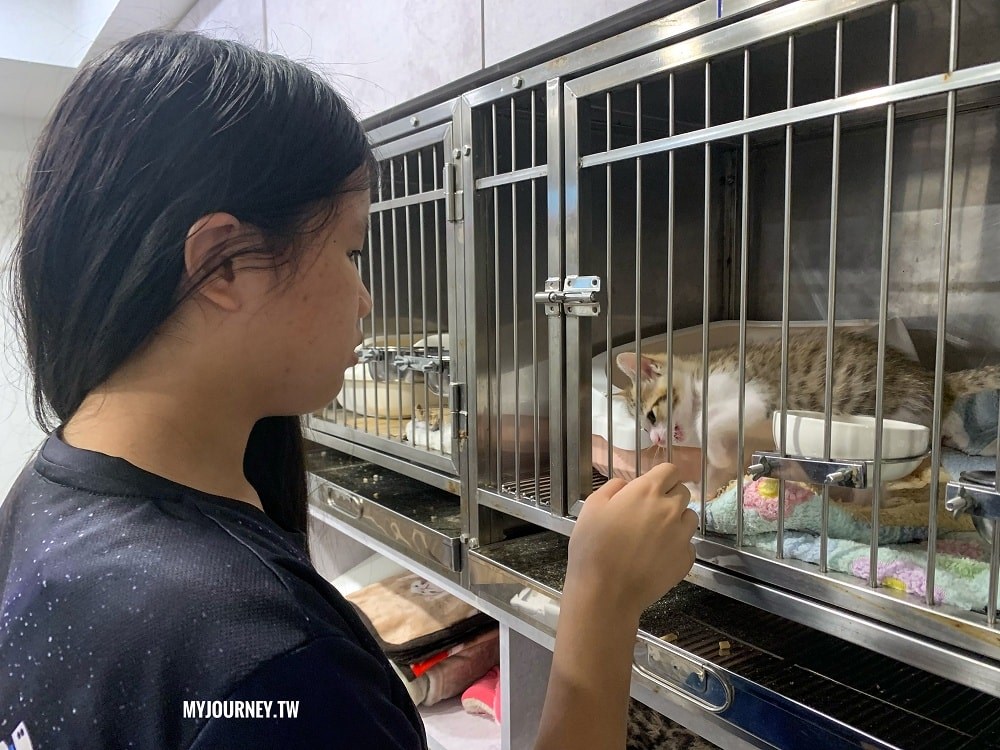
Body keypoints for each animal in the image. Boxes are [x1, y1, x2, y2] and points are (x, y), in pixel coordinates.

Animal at [617, 329, 1000, 497]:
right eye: (644, 429)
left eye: (650, 417)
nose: (656, 439)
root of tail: (935, 379)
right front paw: (701, 488)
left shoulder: (752, 391)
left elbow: (710, 421)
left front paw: (717, 451)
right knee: (947, 419)